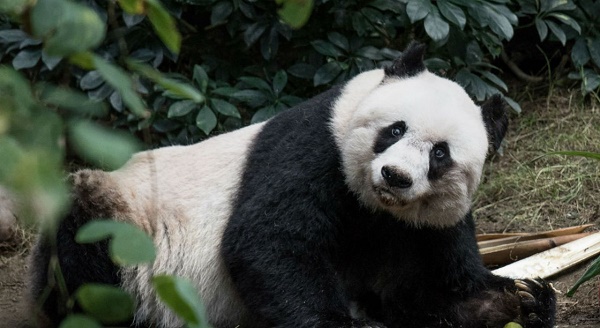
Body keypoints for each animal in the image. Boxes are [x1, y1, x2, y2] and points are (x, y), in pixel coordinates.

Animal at [27, 42, 552, 326]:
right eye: (394, 129)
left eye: (440, 154)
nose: (396, 176)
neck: (375, 208)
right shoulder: (313, 150)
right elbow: (270, 242)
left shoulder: (426, 226)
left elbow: (436, 285)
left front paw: (519, 300)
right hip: (124, 219)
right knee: (86, 250)